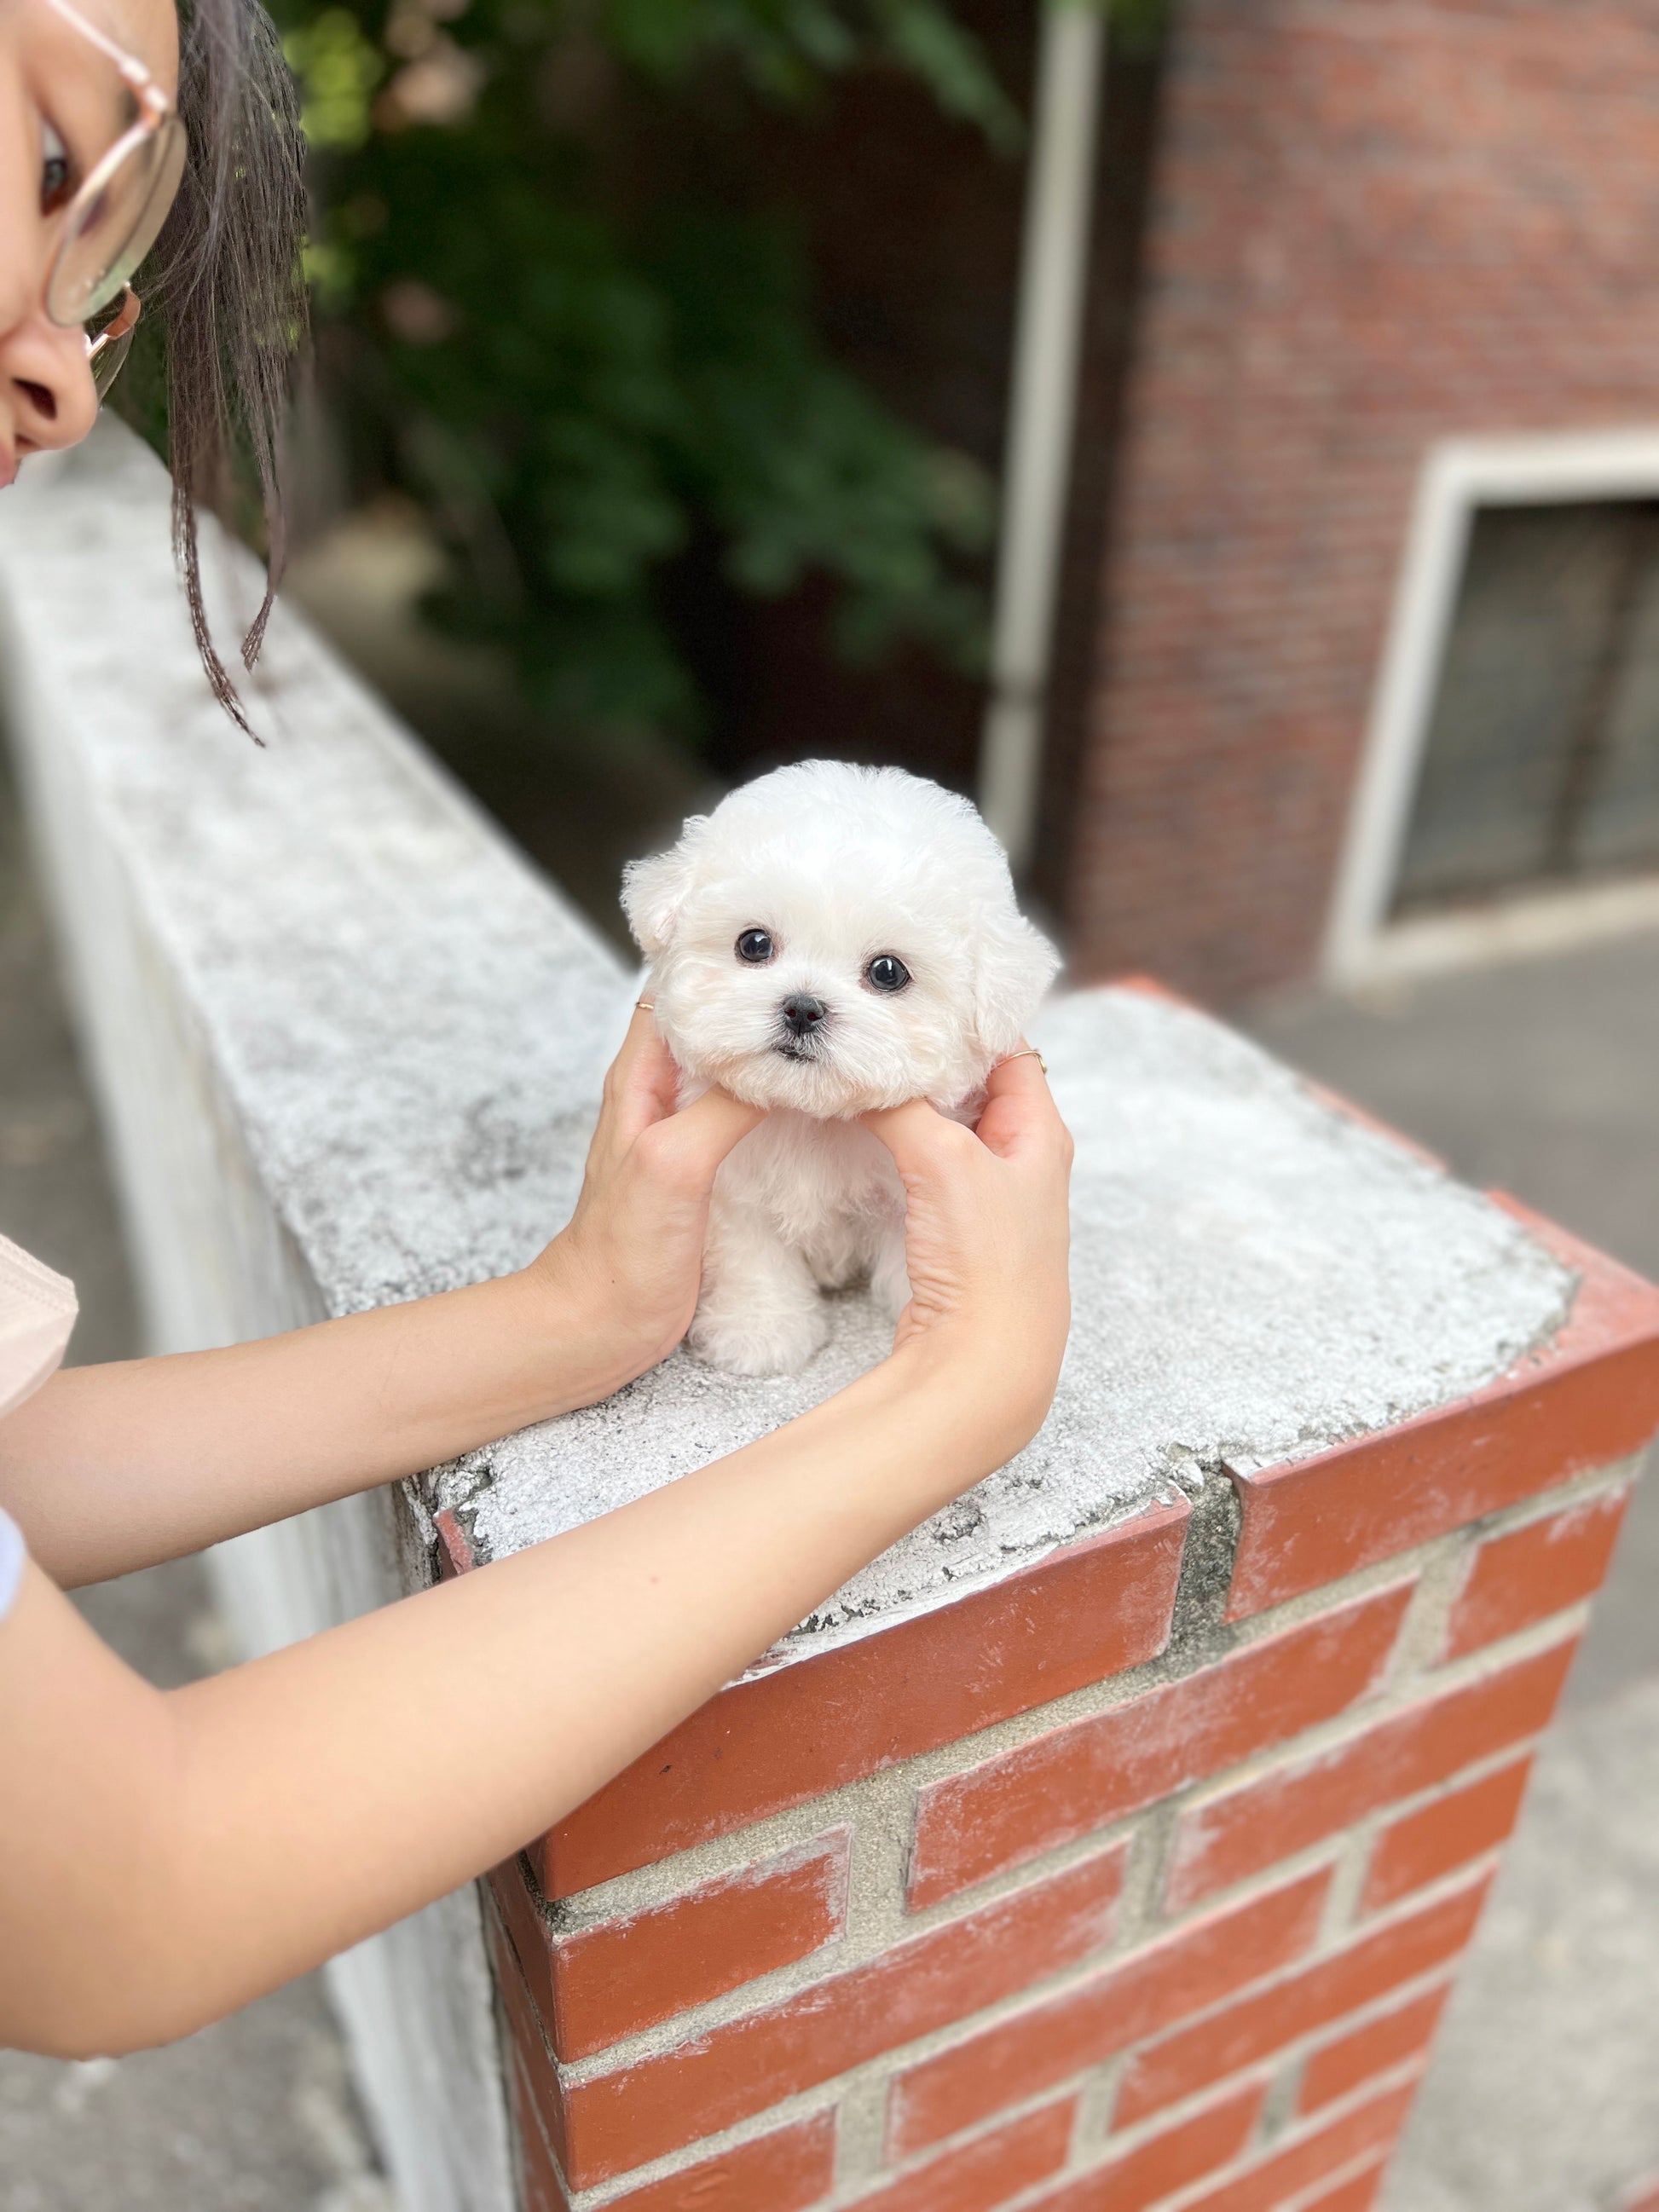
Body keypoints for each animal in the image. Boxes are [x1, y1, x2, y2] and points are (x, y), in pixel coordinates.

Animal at [623, 765, 1066, 1380]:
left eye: (887, 972)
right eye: (753, 943)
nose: (802, 1008)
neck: (814, 1118)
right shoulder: (729, 1188)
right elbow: (750, 1251)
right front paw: (760, 1330)